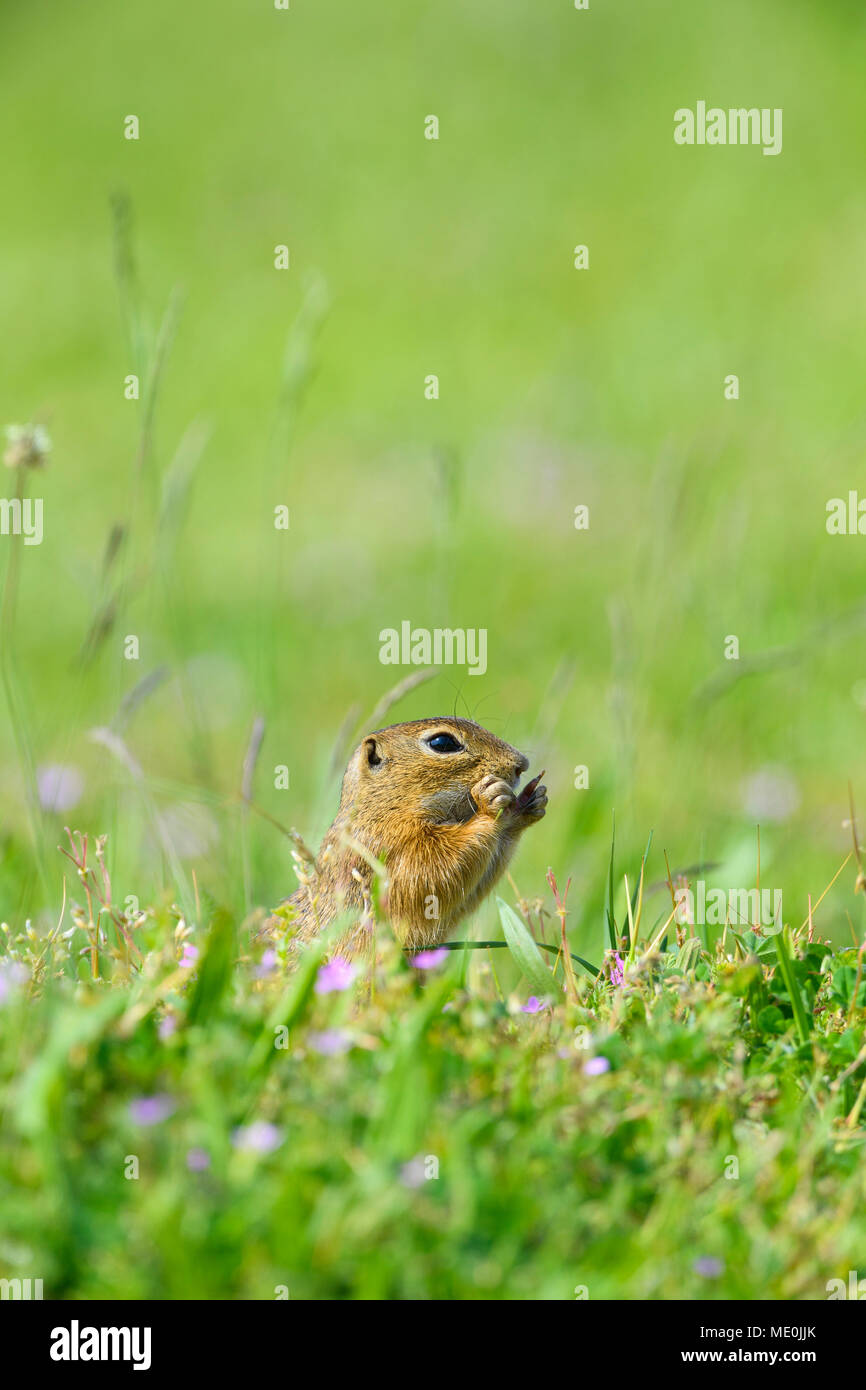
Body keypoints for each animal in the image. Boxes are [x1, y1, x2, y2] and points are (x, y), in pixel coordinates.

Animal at [278, 717, 547, 956]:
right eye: (442, 743)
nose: (521, 764)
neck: (384, 808)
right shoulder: (388, 848)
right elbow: (431, 871)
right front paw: (490, 802)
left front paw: (527, 804)